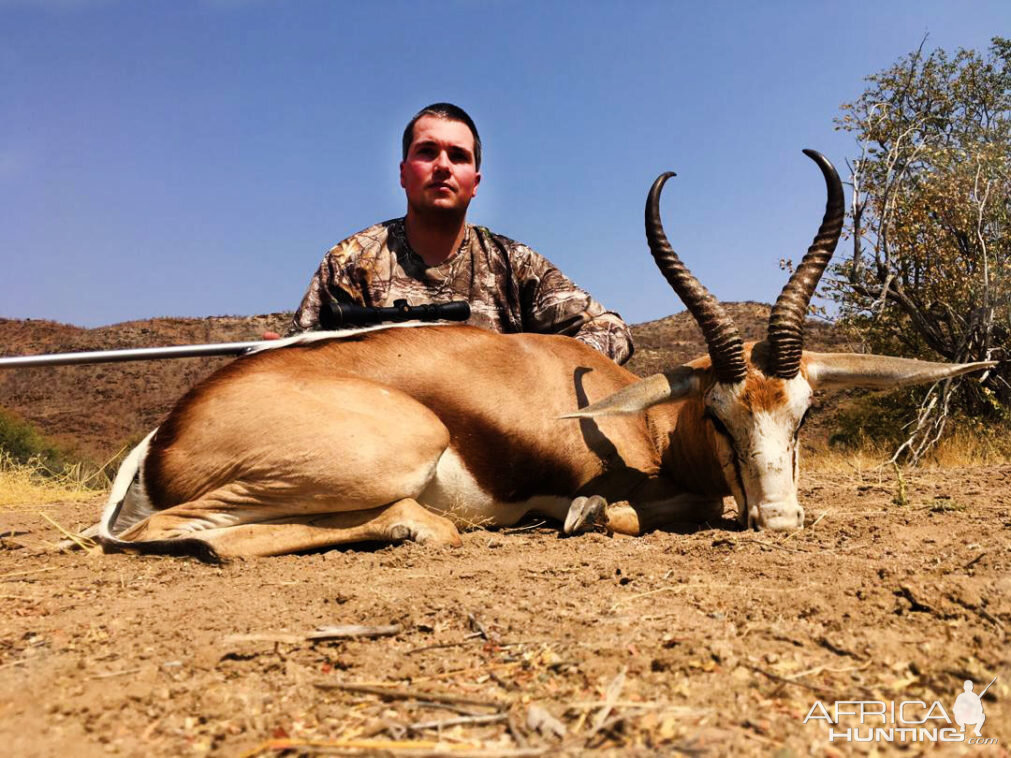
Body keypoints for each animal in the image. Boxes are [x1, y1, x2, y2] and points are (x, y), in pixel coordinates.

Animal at [98, 151, 990, 561]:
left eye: (801, 415)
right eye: (717, 415)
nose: (779, 520)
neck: (645, 423)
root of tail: (170, 430)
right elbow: (629, 508)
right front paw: (584, 515)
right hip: (392, 448)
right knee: (193, 533)